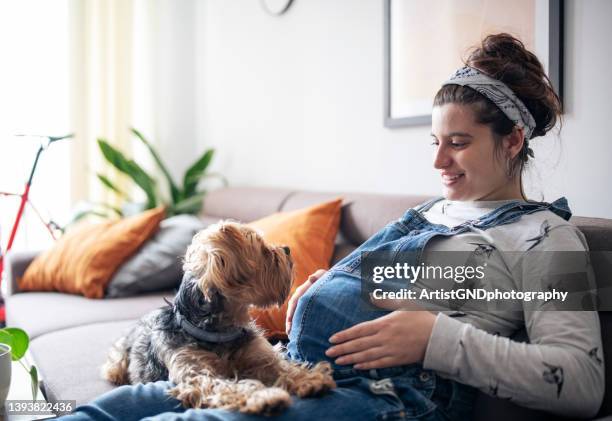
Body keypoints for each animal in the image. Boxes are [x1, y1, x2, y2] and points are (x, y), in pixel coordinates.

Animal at [103, 220, 338, 414]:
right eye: (263, 250)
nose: (287, 249)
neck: (220, 330)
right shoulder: (197, 374)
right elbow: (228, 386)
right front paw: (264, 397)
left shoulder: (259, 356)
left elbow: (282, 366)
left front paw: (310, 378)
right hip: (117, 362)